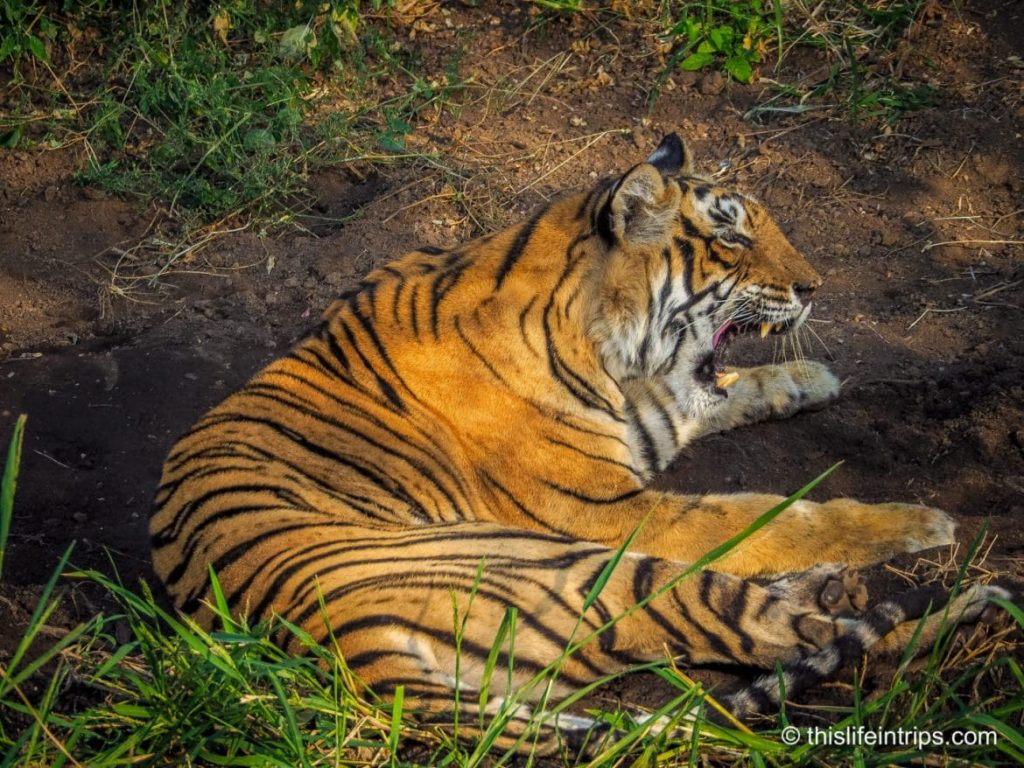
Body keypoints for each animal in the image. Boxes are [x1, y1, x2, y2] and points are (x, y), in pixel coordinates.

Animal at [151, 133, 1007, 754]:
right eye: (731, 240)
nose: (815, 288)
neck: (593, 330)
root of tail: (347, 653)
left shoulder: (646, 419)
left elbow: (715, 397)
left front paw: (810, 377)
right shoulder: (608, 508)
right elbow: (768, 515)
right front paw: (920, 521)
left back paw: (840, 588)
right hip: (599, 569)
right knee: (805, 634)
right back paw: (968, 605)